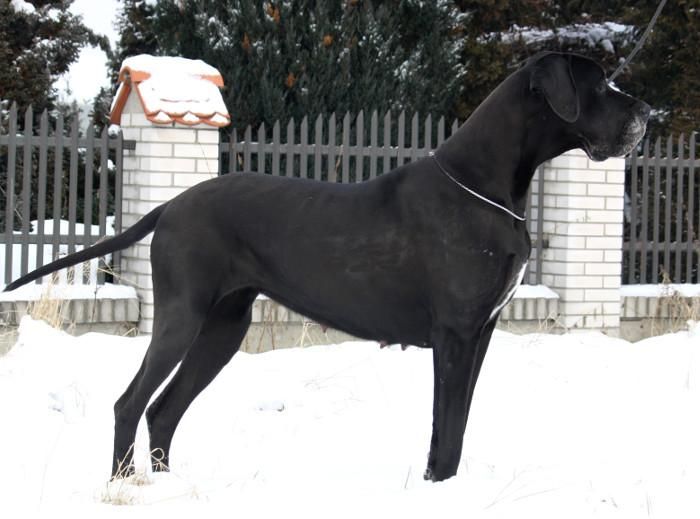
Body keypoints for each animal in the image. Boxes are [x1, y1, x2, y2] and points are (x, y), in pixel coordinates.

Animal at [5, 52, 650, 482]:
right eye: (601, 83)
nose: (647, 109)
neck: (489, 185)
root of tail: (172, 204)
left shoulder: (482, 332)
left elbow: (458, 423)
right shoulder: (455, 333)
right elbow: (445, 426)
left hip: (224, 327)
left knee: (163, 410)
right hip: (183, 314)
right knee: (131, 402)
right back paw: (122, 485)